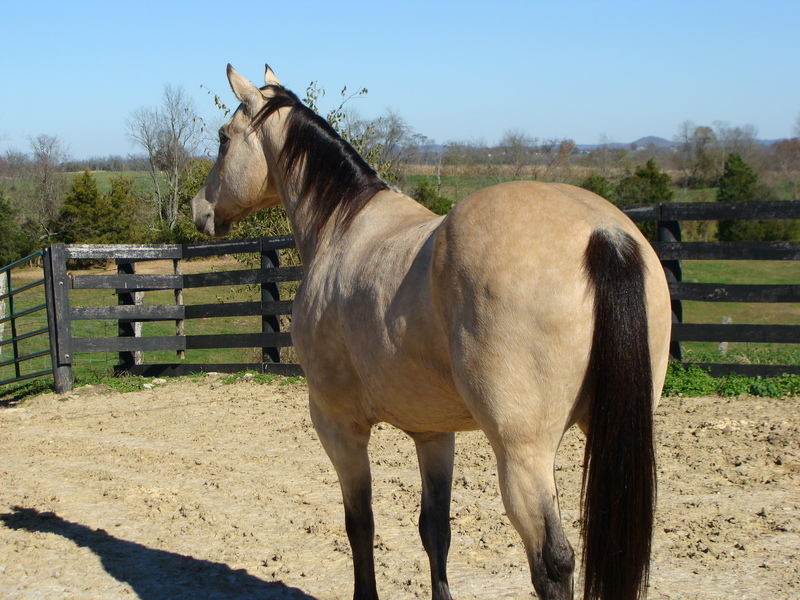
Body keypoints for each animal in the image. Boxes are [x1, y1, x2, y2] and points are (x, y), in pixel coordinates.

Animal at [191, 64, 672, 600]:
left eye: (223, 138)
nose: (199, 209)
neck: (342, 224)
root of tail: (602, 234)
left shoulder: (339, 426)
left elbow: (360, 524)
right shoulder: (434, 433)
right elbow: (435, 530)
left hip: (523, 453)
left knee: (553, 562)